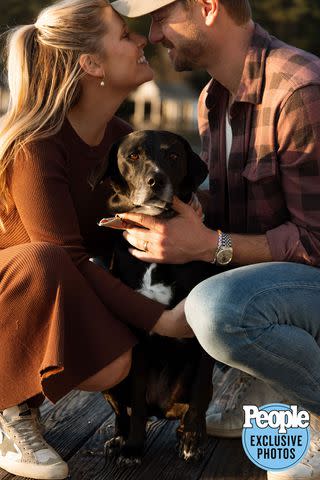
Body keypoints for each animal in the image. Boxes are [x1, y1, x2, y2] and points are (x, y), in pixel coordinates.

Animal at [91, 130, 219, 464]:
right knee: (124, 412)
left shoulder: (200, 348)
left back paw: (188, 434)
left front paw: (192, 442)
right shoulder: (137, 340)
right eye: (133, 156)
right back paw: (120, 439)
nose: (155, 180)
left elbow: (198, 396)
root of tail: (160, 408)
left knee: (194, 406)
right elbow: (135, 403)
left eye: (173, 156)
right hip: (114, 384)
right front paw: (134, 448)